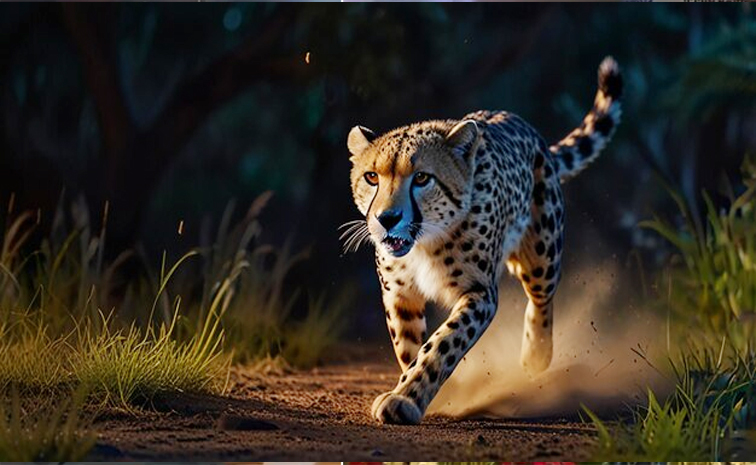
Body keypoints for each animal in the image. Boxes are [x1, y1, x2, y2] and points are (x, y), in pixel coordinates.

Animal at [343, 57, 622, 425]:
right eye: (372, 177)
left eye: (422, 178)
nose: (387, 219)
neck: (425, 242)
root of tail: (519, 121)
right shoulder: (399, 294)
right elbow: (408, 346)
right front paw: (424, 388)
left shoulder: (479, 292)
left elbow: (442, 343)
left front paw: (406, 397)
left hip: (542, 251)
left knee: (542, 296)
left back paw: (536, 355)